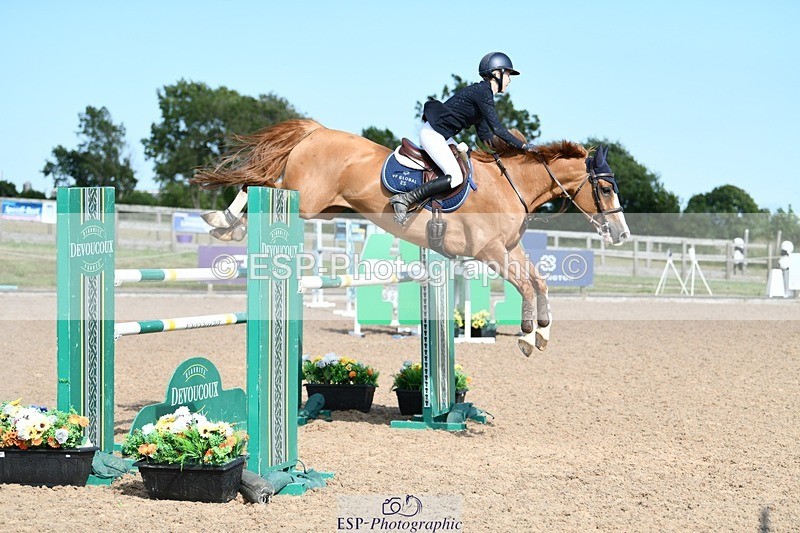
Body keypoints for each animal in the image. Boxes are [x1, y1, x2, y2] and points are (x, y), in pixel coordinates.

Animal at [193, 119, 630, 355]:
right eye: (607, 188)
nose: (622, 233)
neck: (512, 184)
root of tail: (317, 131)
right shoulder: (490, 251)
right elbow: (524, 285)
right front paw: (525, 337)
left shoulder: (509, 248)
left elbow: (539, 282)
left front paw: (542, 334)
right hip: (304, 196)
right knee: (257, 183)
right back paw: (223, 221)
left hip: (324, 206)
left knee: (261, 184)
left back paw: (226, 223)